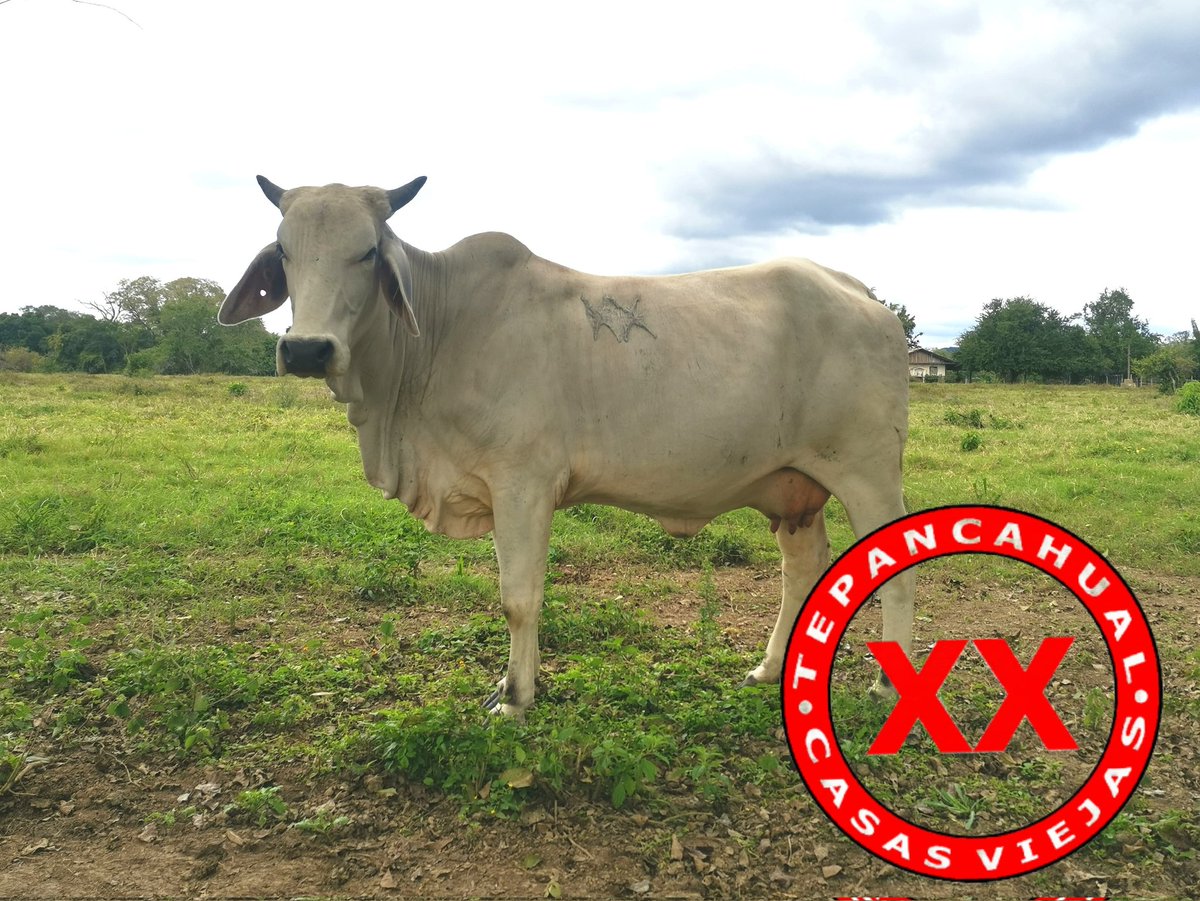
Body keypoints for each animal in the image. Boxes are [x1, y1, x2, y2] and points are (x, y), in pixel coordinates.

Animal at [219, 176, 915, 716]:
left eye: (366, 252)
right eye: (283, 250)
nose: (307, 349)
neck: (439, 334)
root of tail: (863, 297)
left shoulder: (523, 483)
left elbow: (519, 597)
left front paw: (515, 697)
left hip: (868, 472)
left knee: (896, 573)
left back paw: (887, 687)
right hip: (795, 485)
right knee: (802, 569)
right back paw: (770, 670)